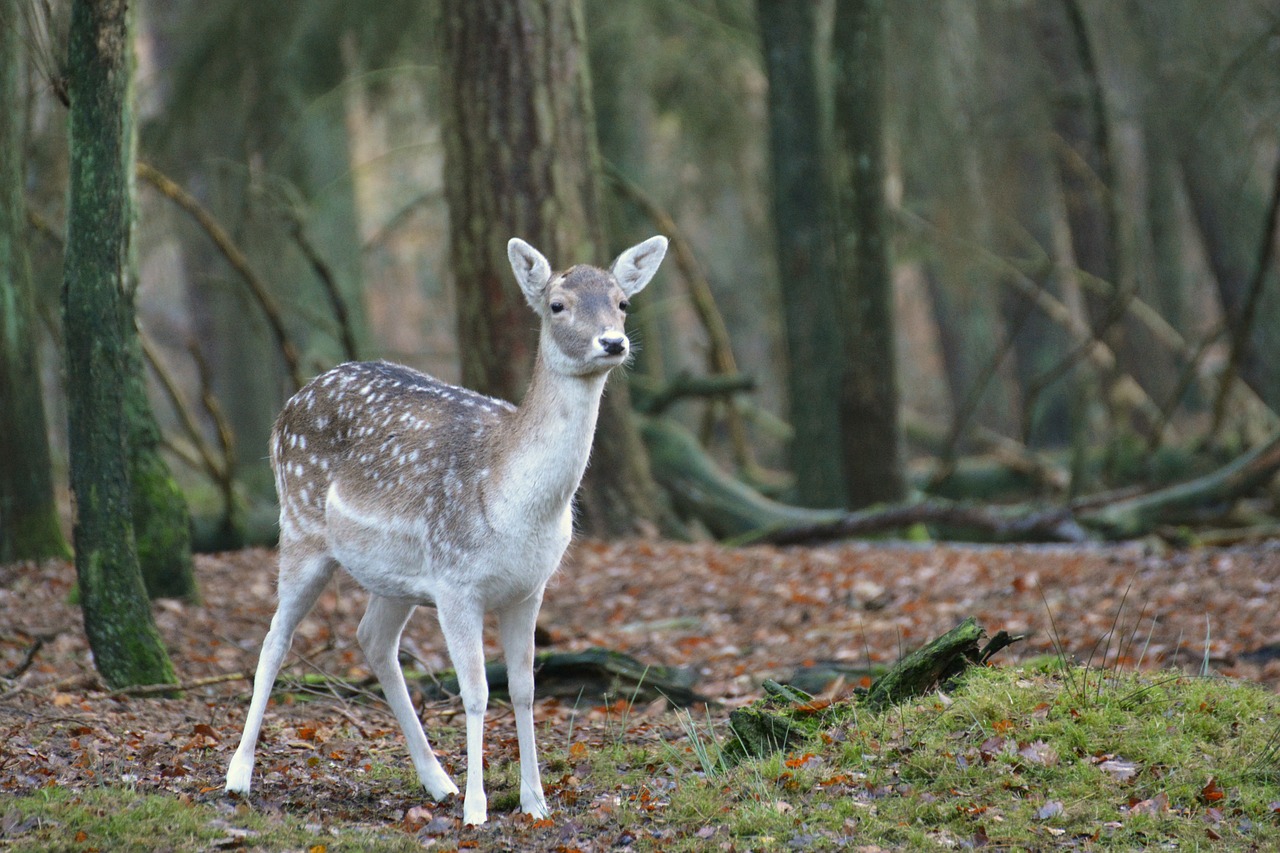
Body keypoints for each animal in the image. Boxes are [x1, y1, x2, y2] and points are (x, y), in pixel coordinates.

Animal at [224, 234, 670, 824]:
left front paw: (535, 802)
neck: (515, 503)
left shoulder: (530, 589)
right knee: (275, 638)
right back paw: (238, 776)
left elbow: (525, 689)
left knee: (372, 640)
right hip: (299, 528)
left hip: (395, 577)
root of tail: (288, 407)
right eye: (557, 304)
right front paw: (479, 809)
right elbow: (477, 691)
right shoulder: (459, 582)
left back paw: (437, 781)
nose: (613, 342)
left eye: (623, 302)